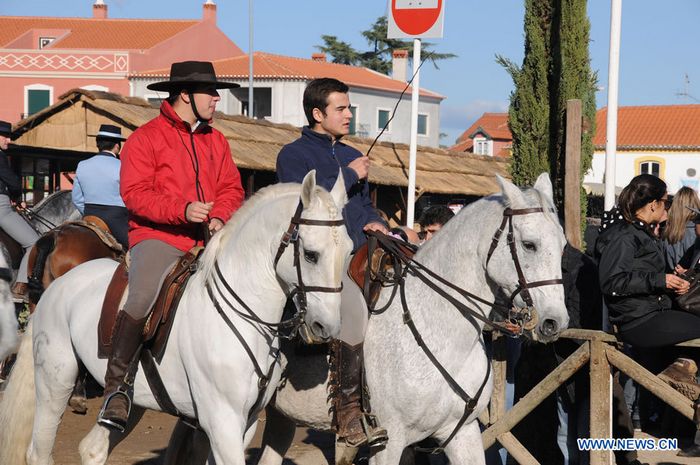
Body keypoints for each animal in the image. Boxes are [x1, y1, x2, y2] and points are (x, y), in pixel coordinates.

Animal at [0, 171, 352, 464]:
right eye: (310, 254)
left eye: (348, 251)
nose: (327, 327)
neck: (243, 317)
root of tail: (58, 286)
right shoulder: (222, 421)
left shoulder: (245, 424)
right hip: (54, 383)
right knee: (39, 452)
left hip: (133, 402)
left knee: (93, 448)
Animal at [254, 173, 572, 464]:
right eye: (529, 245)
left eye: (562, 245)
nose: (555, 322)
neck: (439, 331)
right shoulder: (388, 443)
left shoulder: (463, 432)